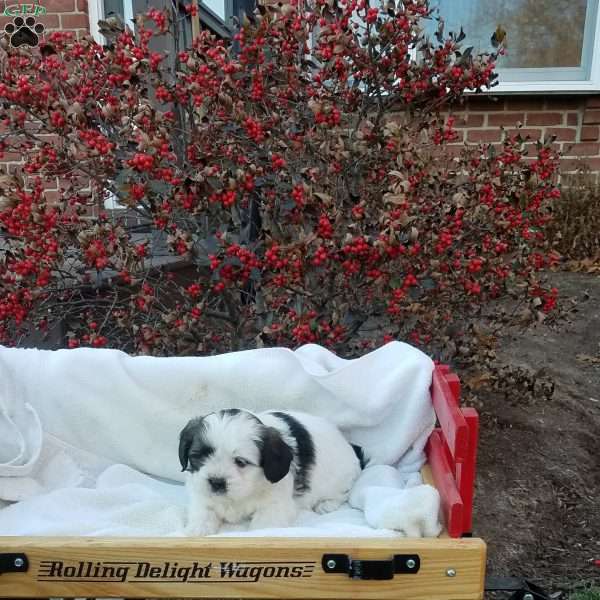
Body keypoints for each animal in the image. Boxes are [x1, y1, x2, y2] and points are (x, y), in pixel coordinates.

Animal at [178, 408, 364, 536]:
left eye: (240, 462)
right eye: (199, 456)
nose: (216, 482)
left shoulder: (275, 506)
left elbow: (263, 528)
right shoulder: (200, 491)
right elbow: (202, 511)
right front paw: (197, 529)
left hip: (341, 478)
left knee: (342, 493)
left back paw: (326, 504)